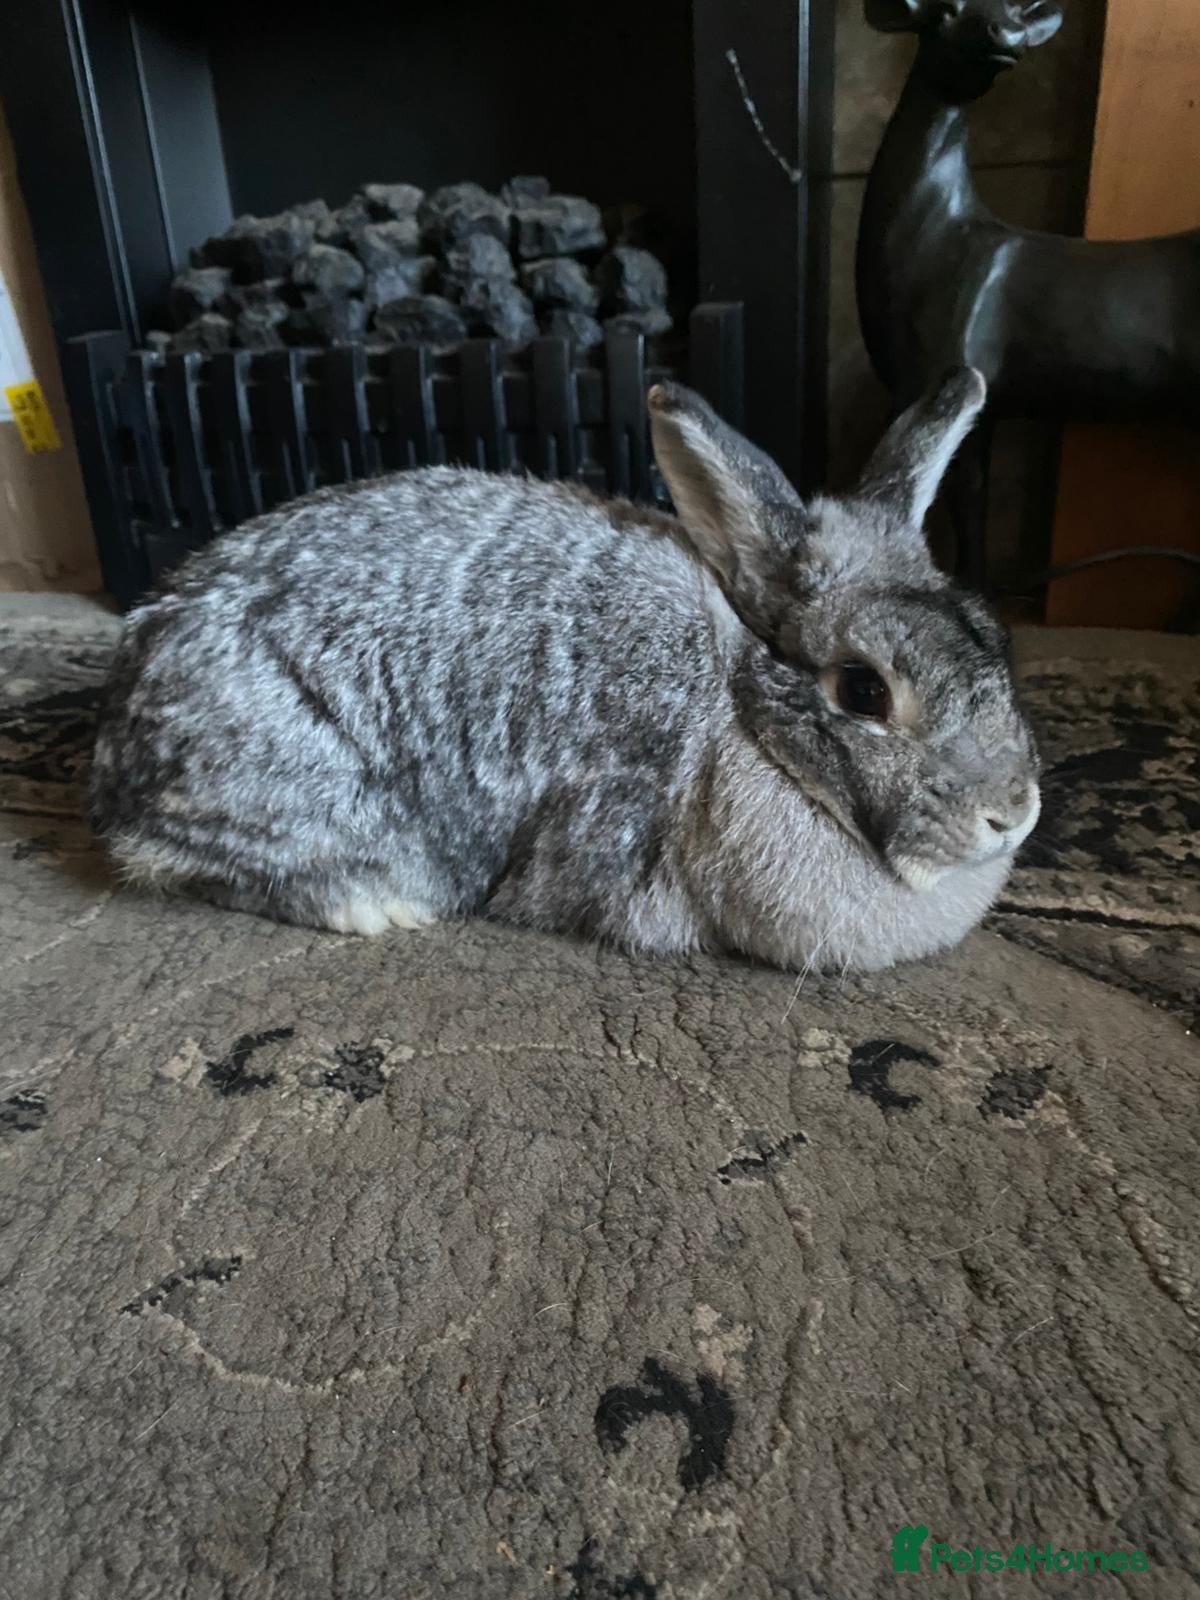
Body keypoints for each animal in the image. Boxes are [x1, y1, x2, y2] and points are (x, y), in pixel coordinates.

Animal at [89, 366, 1040, 973]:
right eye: (863, 690)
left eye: (991, 637)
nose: (1013, 813)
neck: (737, 707)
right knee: (185, 864)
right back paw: (375, 905)